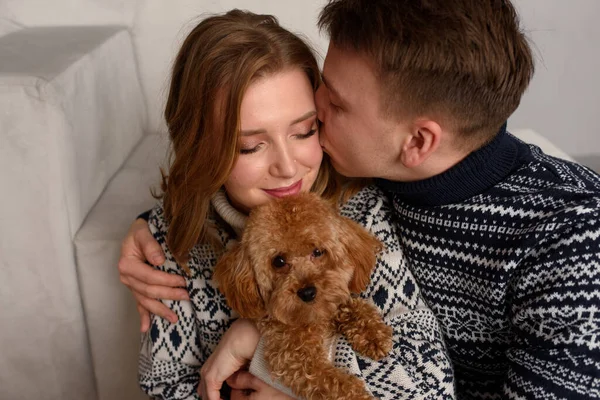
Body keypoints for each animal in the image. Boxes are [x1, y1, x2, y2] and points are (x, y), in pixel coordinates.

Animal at [213, 192, 392, 398]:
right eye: (279, 261)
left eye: (318, 251)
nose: (307, 292)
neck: (312, 318)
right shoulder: (294, 358)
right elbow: (331, 382)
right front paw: (357, 395)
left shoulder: (332, 300)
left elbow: (351, 305)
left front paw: (374, 335)